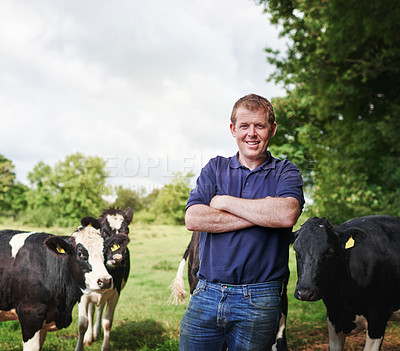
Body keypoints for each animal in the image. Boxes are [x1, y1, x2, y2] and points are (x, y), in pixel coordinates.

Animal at [74, 208, 132, 350]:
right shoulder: (83, 295)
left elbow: (107, 322)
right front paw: (83, 341)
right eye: (104, 231)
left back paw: (96, 331)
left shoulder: (115, 294)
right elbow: (82, 324)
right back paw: (90, 336)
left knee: (99, 309)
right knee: (91, 312)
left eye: (126, 231)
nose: (117, 258)